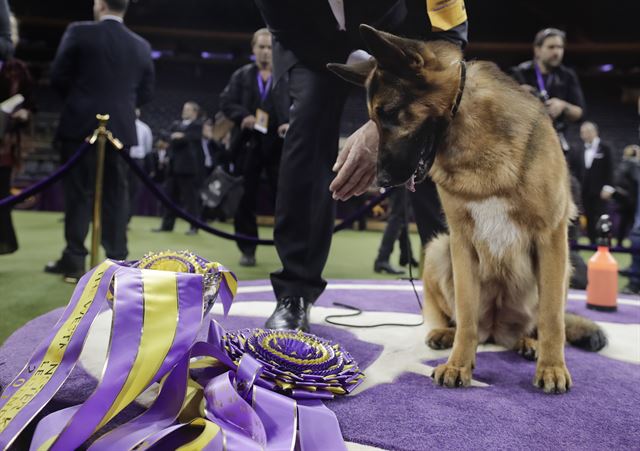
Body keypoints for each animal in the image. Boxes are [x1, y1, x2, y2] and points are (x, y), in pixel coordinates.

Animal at [330, 24, 604, 394]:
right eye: (373, 119)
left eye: (390, 113)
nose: (382, 180)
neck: (471, 134)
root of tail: (498, 331)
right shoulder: (461, 241)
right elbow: (466, 313)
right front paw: (459, 364)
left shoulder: (551, 237)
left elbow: (551, 319)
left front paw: (552, 368)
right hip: (438, 248)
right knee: (463, 320)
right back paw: (445, 333)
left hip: (561, 268)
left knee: (543, 319)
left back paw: (529, 342)